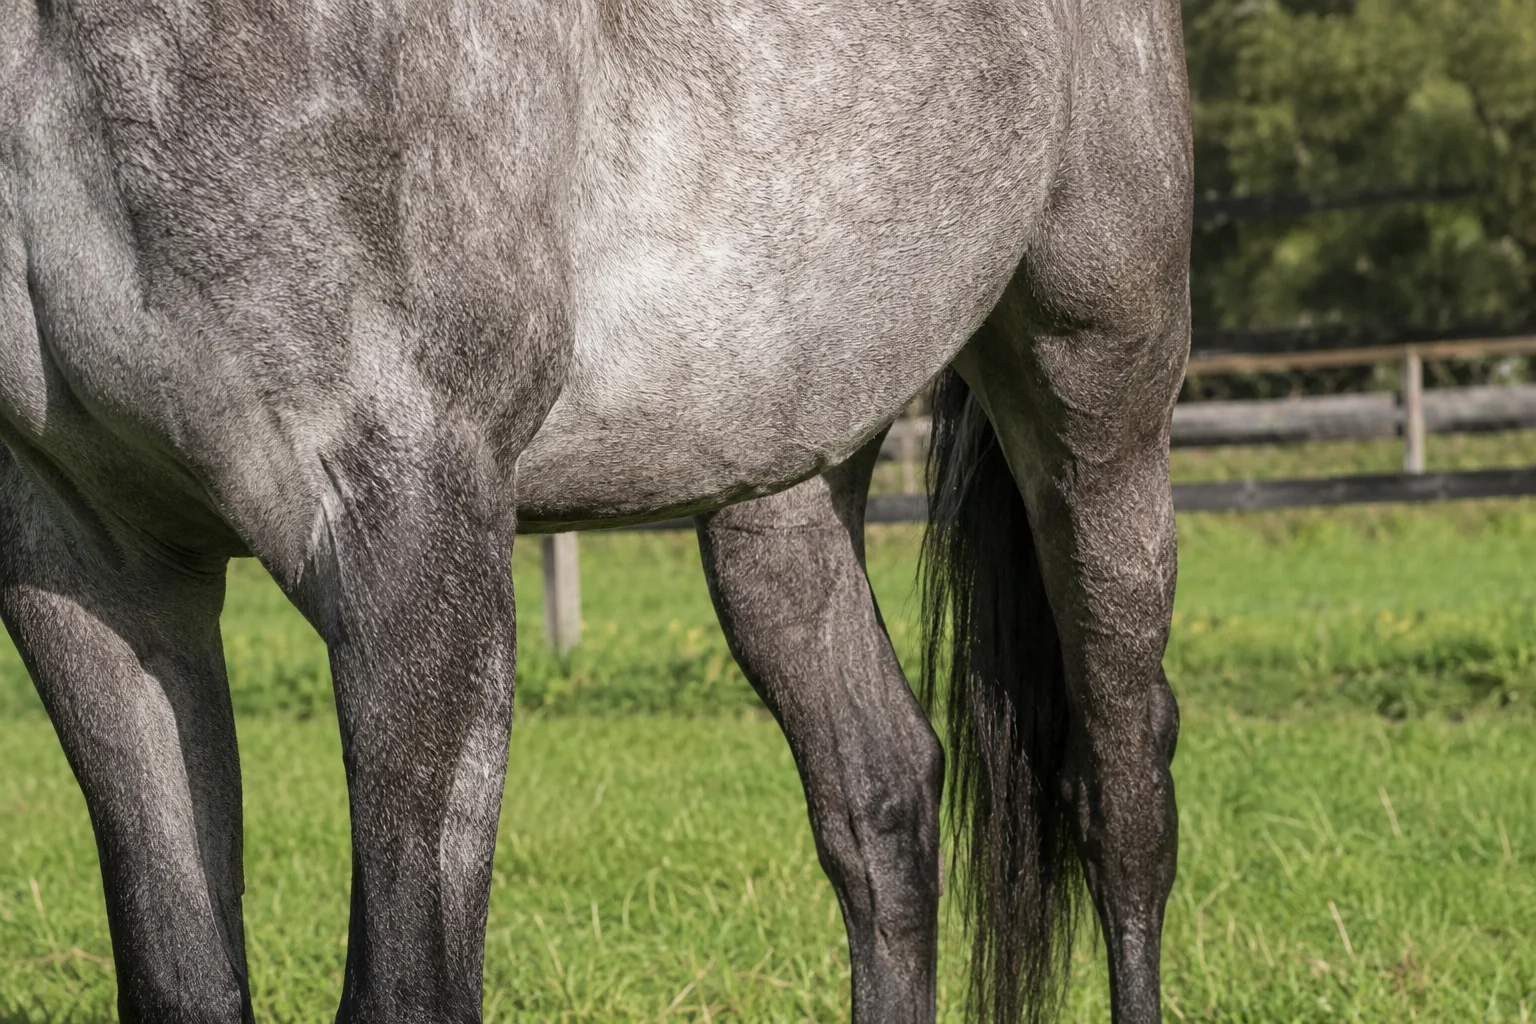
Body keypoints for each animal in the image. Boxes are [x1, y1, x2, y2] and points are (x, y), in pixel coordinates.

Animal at [0, 1, 1190, 1021]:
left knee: (1123, 797)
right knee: (883, 798)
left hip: (1098, 408)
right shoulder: (95, 566)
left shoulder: (407, 521)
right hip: (785, 488)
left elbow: (410, 986)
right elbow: (180, 978)